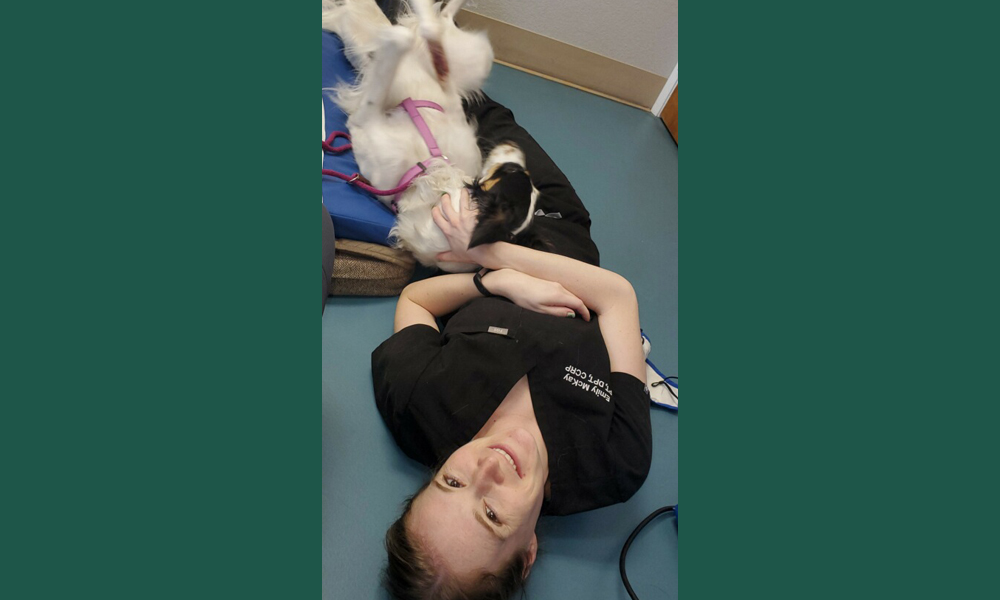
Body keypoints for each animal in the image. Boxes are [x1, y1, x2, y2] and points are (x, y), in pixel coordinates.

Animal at [322, 0, 540, 270]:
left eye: (512, 171)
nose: (514, 144)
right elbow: (421, 46)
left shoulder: (363, 119)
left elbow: (398, 42)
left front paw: (393, 39)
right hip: (479, 58)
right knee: (439, 23)